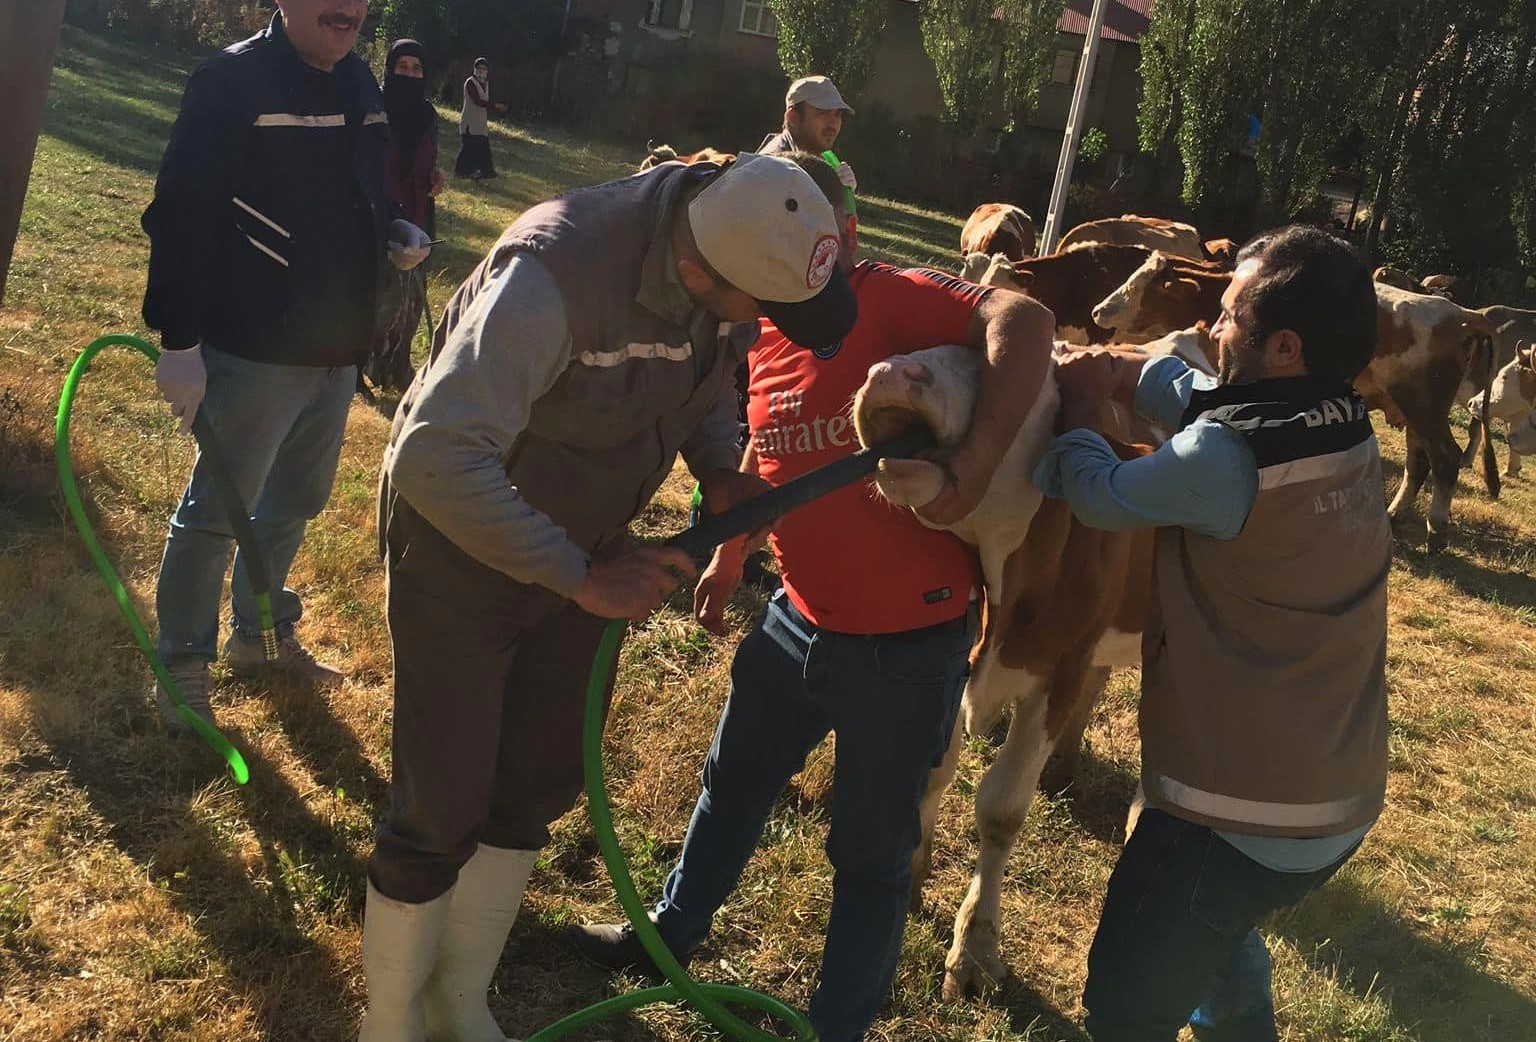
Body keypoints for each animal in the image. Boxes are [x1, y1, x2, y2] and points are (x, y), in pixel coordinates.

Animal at [854, 344, 1155, 1002]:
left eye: (1011, 380)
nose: (890, 372)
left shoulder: (1059, 672)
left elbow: (1000, 810)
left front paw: (975, 947)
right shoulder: (954, 660)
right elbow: (933, 770)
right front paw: (912, 870)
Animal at [1093, 255, 1499, 547]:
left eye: (1139, 285)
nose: (1098, 310)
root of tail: (1464, 315)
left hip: (1424, 408)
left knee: (1444, 458)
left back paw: (1437, 529)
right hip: (1416, 412)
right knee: (1420, 463)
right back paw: (1396, 515)